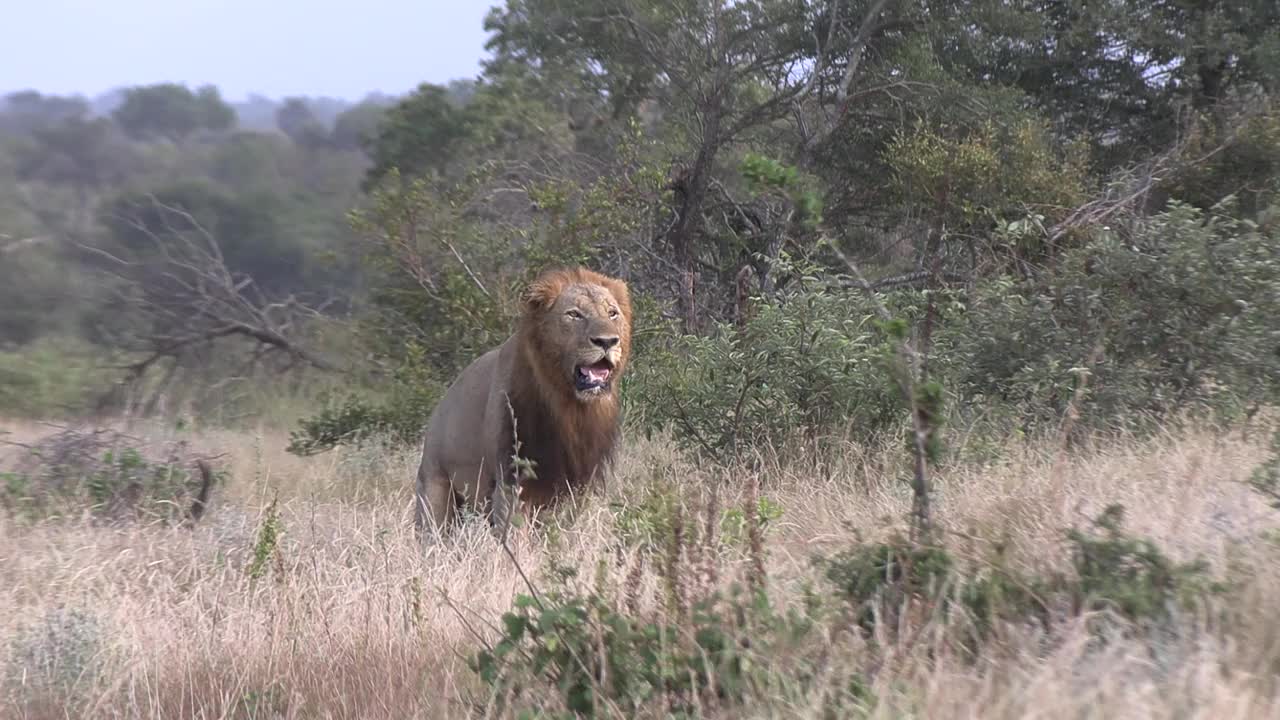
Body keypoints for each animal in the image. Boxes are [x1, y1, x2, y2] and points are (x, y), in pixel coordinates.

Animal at [412, 266, 632, 535]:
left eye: (612, 313)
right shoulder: (511, 484)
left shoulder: (578, 488)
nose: (607, 341)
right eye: (574, 314)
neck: (569, 408)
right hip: (435, 493)